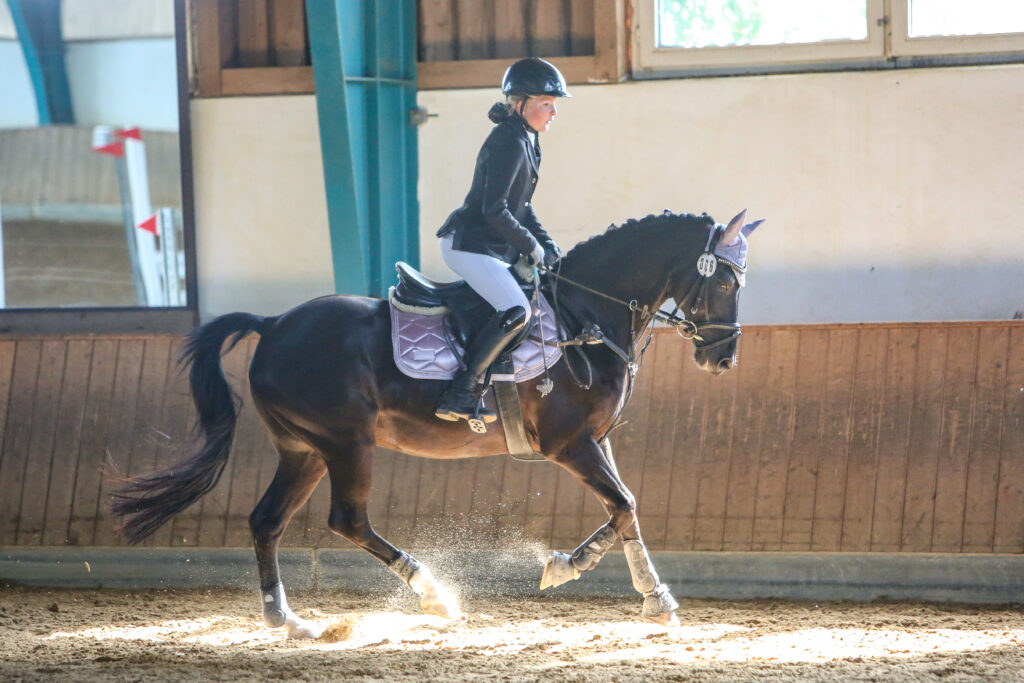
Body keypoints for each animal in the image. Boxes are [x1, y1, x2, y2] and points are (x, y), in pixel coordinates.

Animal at [112, 206, 765, 634]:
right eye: (725, 280)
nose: (724, 358)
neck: (586, 314)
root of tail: (273, 324)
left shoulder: (595, 442)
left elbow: (623, 509)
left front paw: (573, 568)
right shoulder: (569, 444)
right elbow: (625, 504)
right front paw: (652, 597)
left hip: (303, 451)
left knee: (267, 520)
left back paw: (286, 619)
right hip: (345, 444)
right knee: (348, 519)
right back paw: (433, 595)